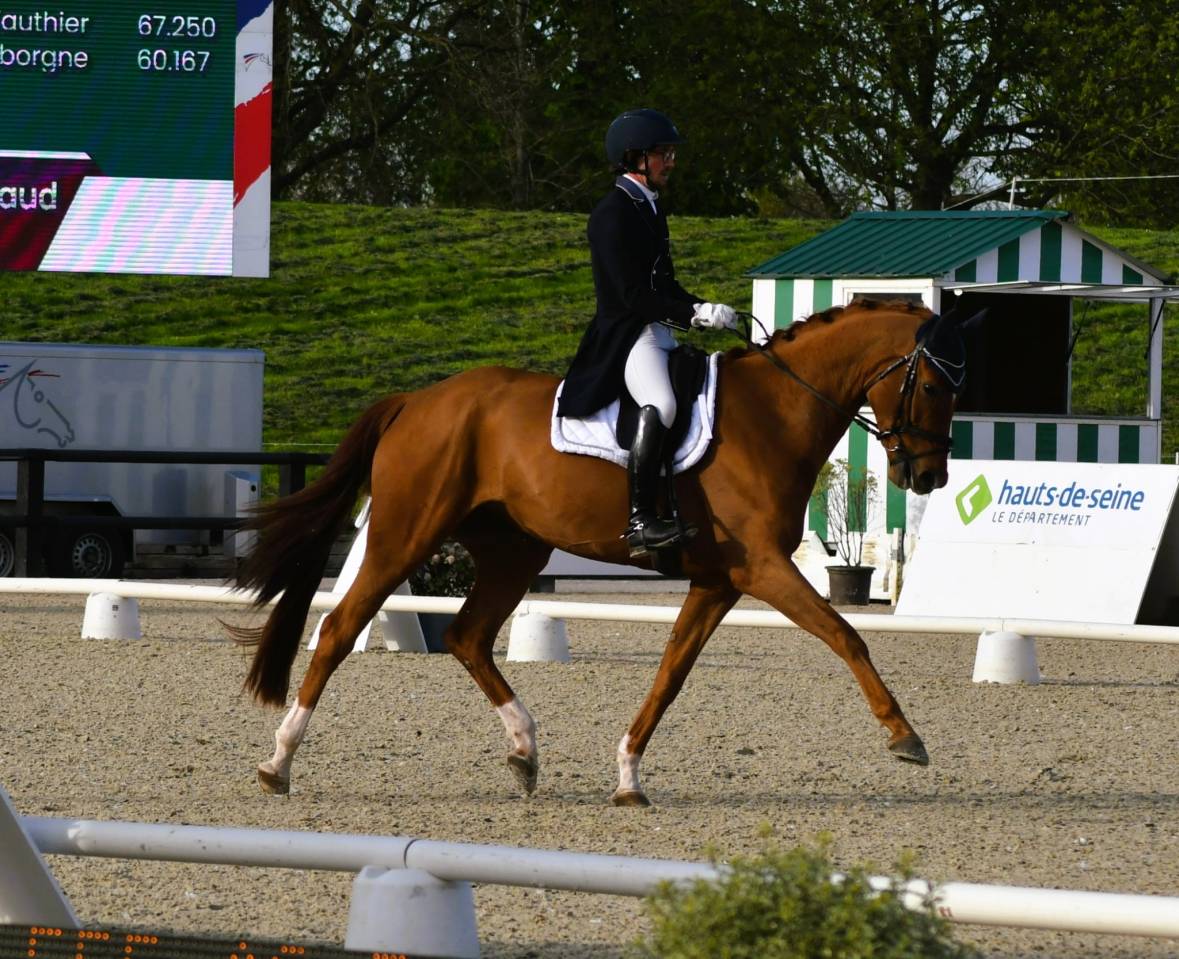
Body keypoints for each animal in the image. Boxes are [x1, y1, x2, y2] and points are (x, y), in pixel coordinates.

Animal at [231, 298, 968, 807]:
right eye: (934, 387)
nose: (929, 477)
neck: (774, 412)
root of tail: (416, 399)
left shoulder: (718, 581)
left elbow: (670, 676)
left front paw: (628, 776)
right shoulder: (762, 567)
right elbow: (846, 635)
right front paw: (905, 736)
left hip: (514, 551)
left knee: (467, 636)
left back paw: (525, 750)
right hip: (404, 533)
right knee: (338, 627)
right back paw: (277, 763)